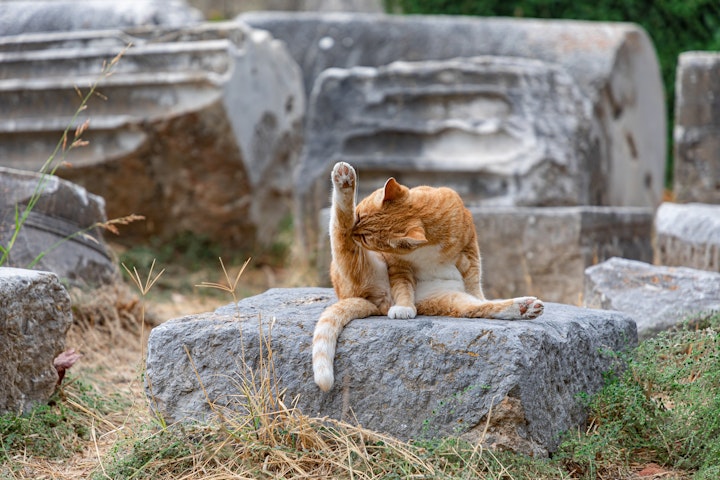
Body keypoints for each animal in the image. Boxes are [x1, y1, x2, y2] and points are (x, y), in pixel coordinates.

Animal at [312, 163, 544, 392]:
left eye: (365, 237)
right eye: (358, 216)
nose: (354, 231)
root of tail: (376, 304)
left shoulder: (470, 249)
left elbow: (474, 280)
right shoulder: (398, 265)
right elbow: (403, 287)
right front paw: (404, 307)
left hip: (447, 298)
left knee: (479, 307)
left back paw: (524, 308)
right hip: (358, 264)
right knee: (340, 229)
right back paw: (344, 180)